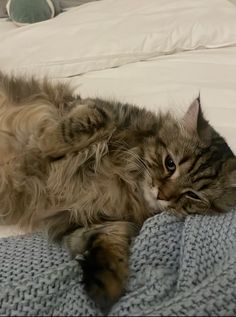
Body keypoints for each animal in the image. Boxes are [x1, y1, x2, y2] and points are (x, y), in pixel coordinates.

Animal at [0, 71, 236, 308]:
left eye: (192, 195)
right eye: (170, 164)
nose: (162, 195)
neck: (130, 180)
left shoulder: (87, 220)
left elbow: (114, 242)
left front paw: (107, 286)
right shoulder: (99, 108)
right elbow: (89, 122)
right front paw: (44, 145)